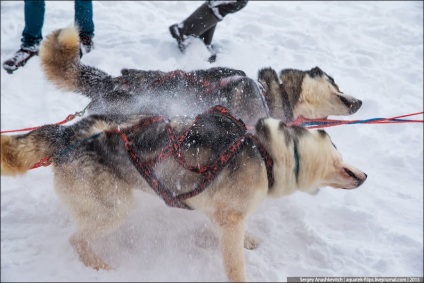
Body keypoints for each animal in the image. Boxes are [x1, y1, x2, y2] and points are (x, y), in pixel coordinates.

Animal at [0, 107, 366, 283]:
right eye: (339, 158)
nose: (364, 176)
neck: (267, 154)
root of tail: (66, 136)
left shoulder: (220, 213)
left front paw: (248, 239)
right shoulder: (230, 218)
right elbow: (235, 265)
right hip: (115, 209)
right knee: (76, 239)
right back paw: (98, 265)